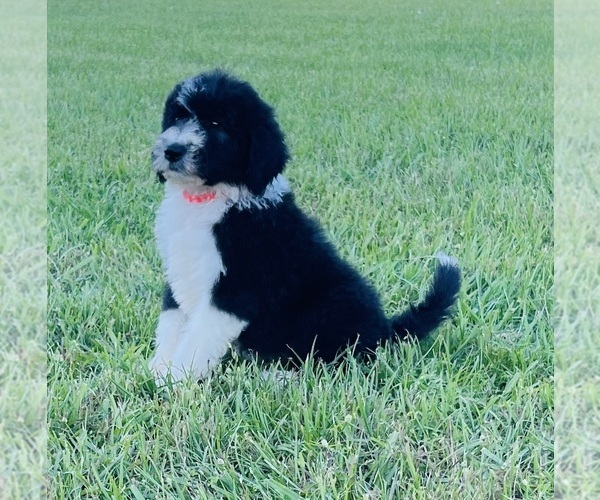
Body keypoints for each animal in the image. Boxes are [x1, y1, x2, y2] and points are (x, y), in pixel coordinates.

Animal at [149, 70, 460, 380]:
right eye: (178, 116)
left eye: (216, 123)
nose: (172, 150)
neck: (206, 199)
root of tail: (385, 331)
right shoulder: (179, 271)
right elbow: (172, 323)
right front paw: (158, 369)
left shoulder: (236, 286)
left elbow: (198, 337)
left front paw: (175, 378)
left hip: (331, 305)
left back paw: (278, 377)